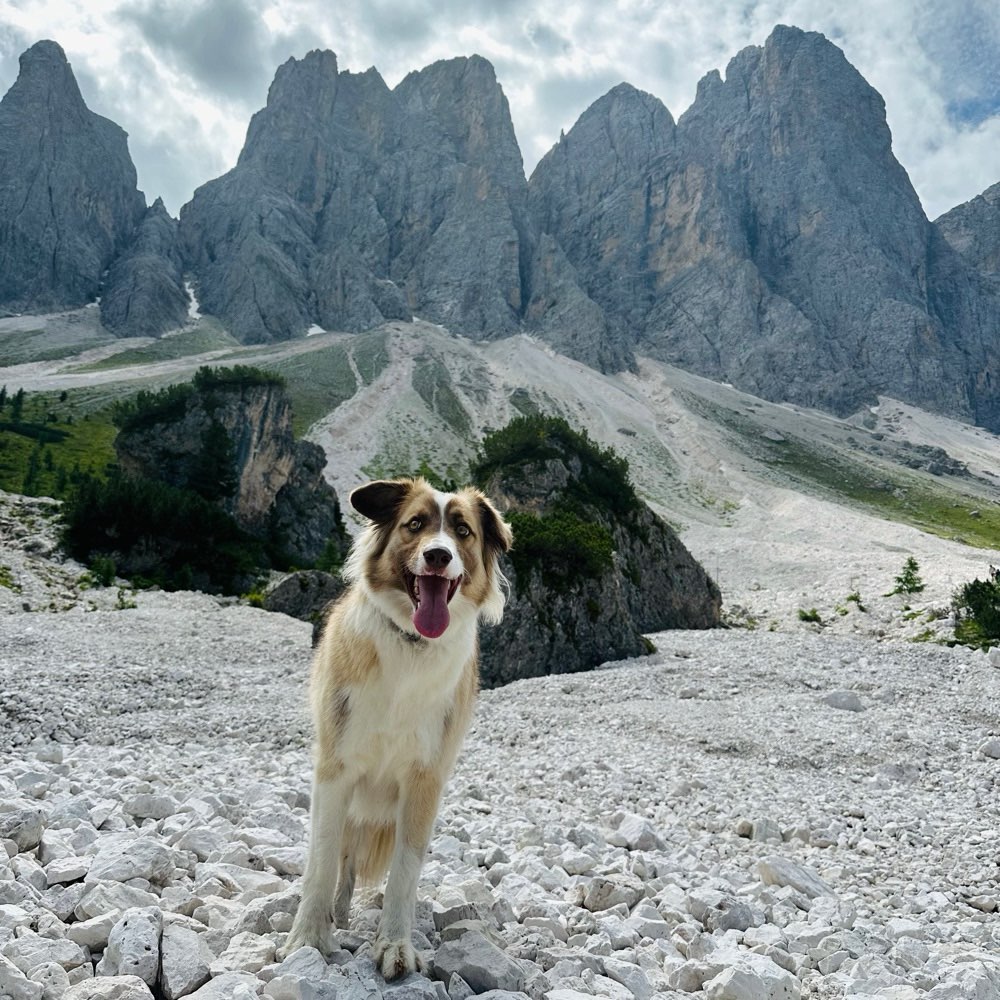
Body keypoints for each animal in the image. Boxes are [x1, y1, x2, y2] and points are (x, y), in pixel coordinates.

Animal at [282, 474, 516, 976]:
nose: (438, 556)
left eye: (463, 531)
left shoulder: (424, 779)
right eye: (415, 525)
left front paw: (393, 944)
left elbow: (405, 871)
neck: (411, 644)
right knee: (344, 861)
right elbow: (323, 859)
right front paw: (308, 938)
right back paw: (338, 914)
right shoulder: (335, 770)